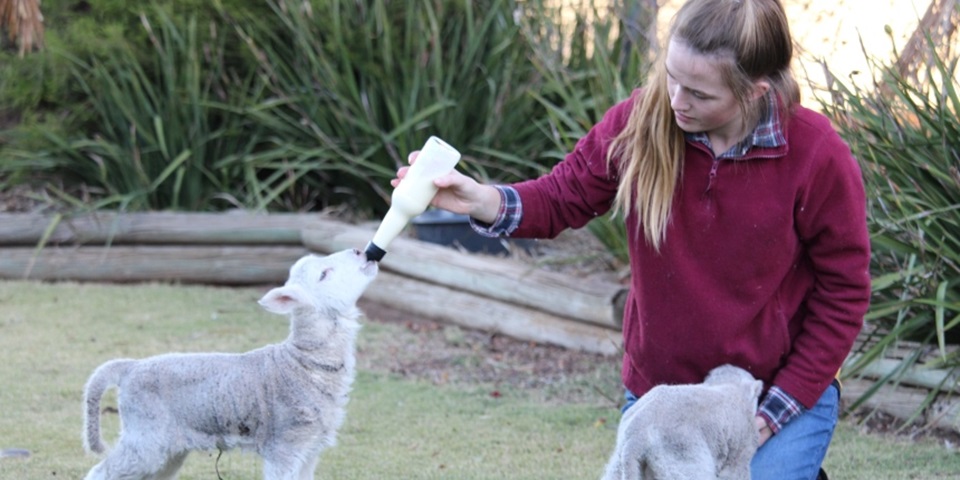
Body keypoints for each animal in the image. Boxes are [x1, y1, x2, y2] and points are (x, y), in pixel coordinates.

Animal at [80, 248, 378, 480]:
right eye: (324, 274)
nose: (360, 251)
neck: (302, 363)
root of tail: (130, 367)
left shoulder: (310, 448)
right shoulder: (284, 446)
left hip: (167, 449)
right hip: (145, 438)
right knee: (100, 472)